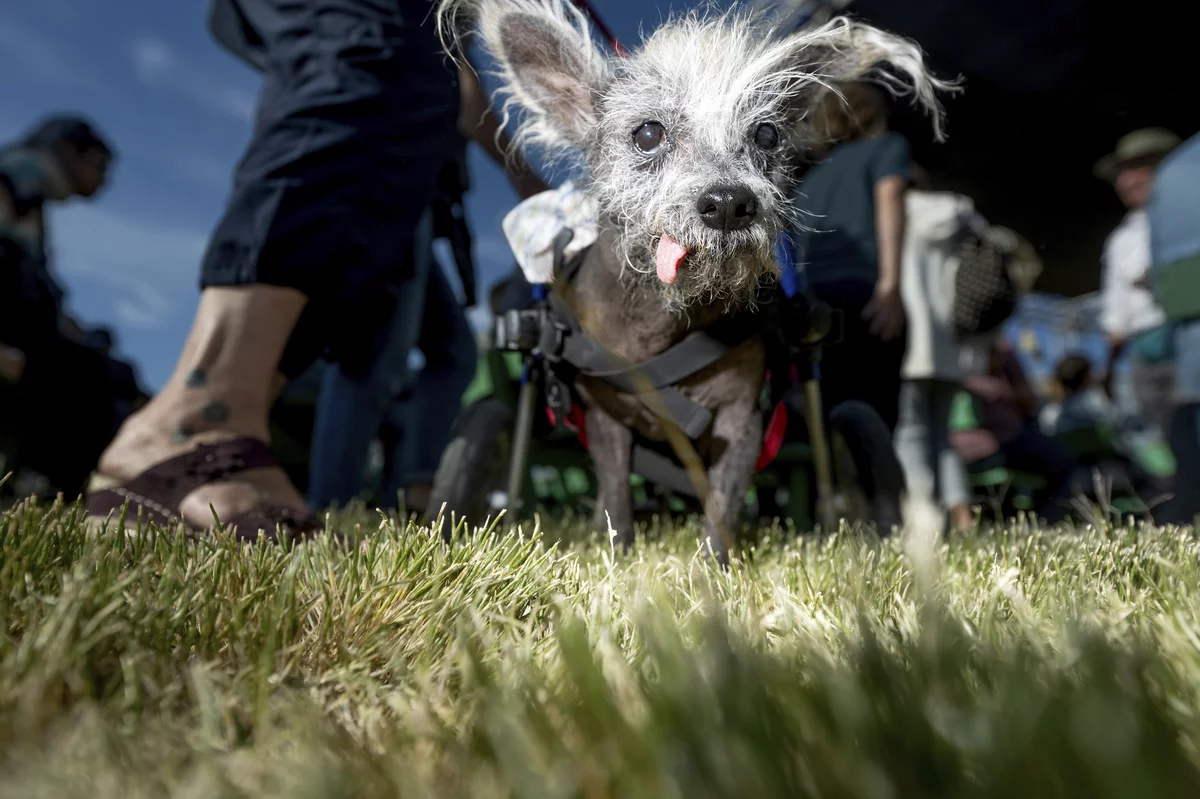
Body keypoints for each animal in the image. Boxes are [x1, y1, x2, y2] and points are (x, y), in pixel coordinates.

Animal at [439, 0, 955, 559]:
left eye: (766, 135)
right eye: (648, 133)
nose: (729, 203)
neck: (666, 322)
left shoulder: (742, 423)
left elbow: (723, 506)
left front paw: (713, 567)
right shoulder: (604, 421)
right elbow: (616, 497)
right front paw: (618, 556)